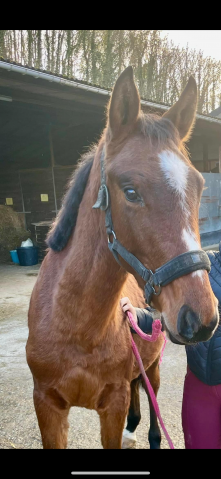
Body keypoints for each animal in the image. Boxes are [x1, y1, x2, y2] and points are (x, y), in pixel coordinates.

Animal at [25, 65, 218, 448]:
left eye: (200, 186)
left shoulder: (112, 404)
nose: (200, 318)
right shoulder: (47, 406)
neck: (74, 328)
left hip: (153, 370)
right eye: (130, 191)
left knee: (150, 410)